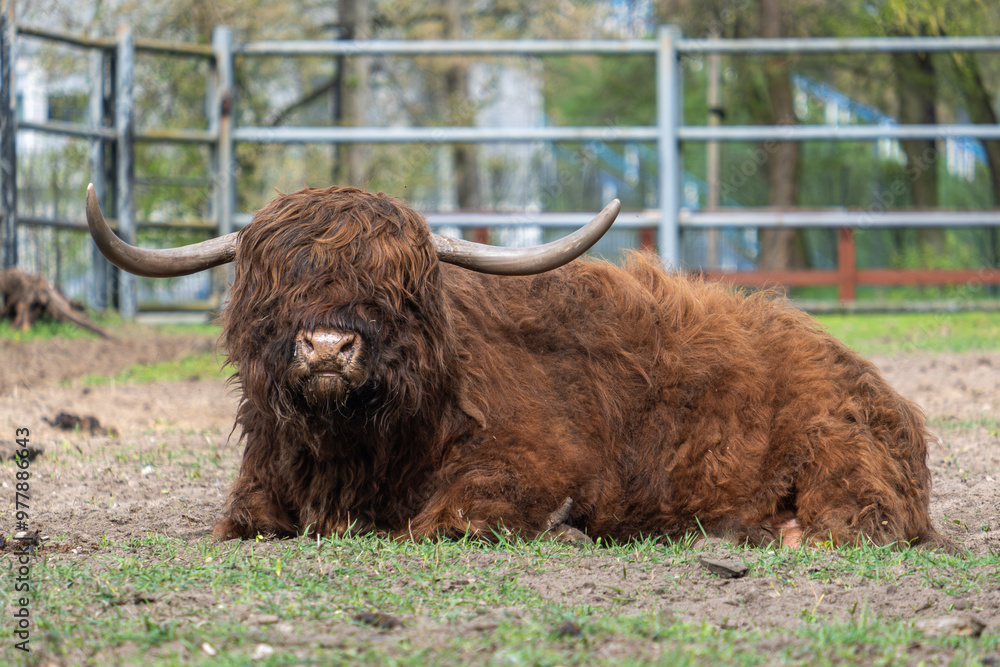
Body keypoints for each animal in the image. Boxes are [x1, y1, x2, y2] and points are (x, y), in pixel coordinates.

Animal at [85, 184, 955, 551]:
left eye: (398, 288)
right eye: (272, 283)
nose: (328, 346)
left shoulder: (531, 462)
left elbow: (455, 518)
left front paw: (564, 526)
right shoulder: (259, 488)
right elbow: (243, 523)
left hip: (841, 456)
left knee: (861, 523)